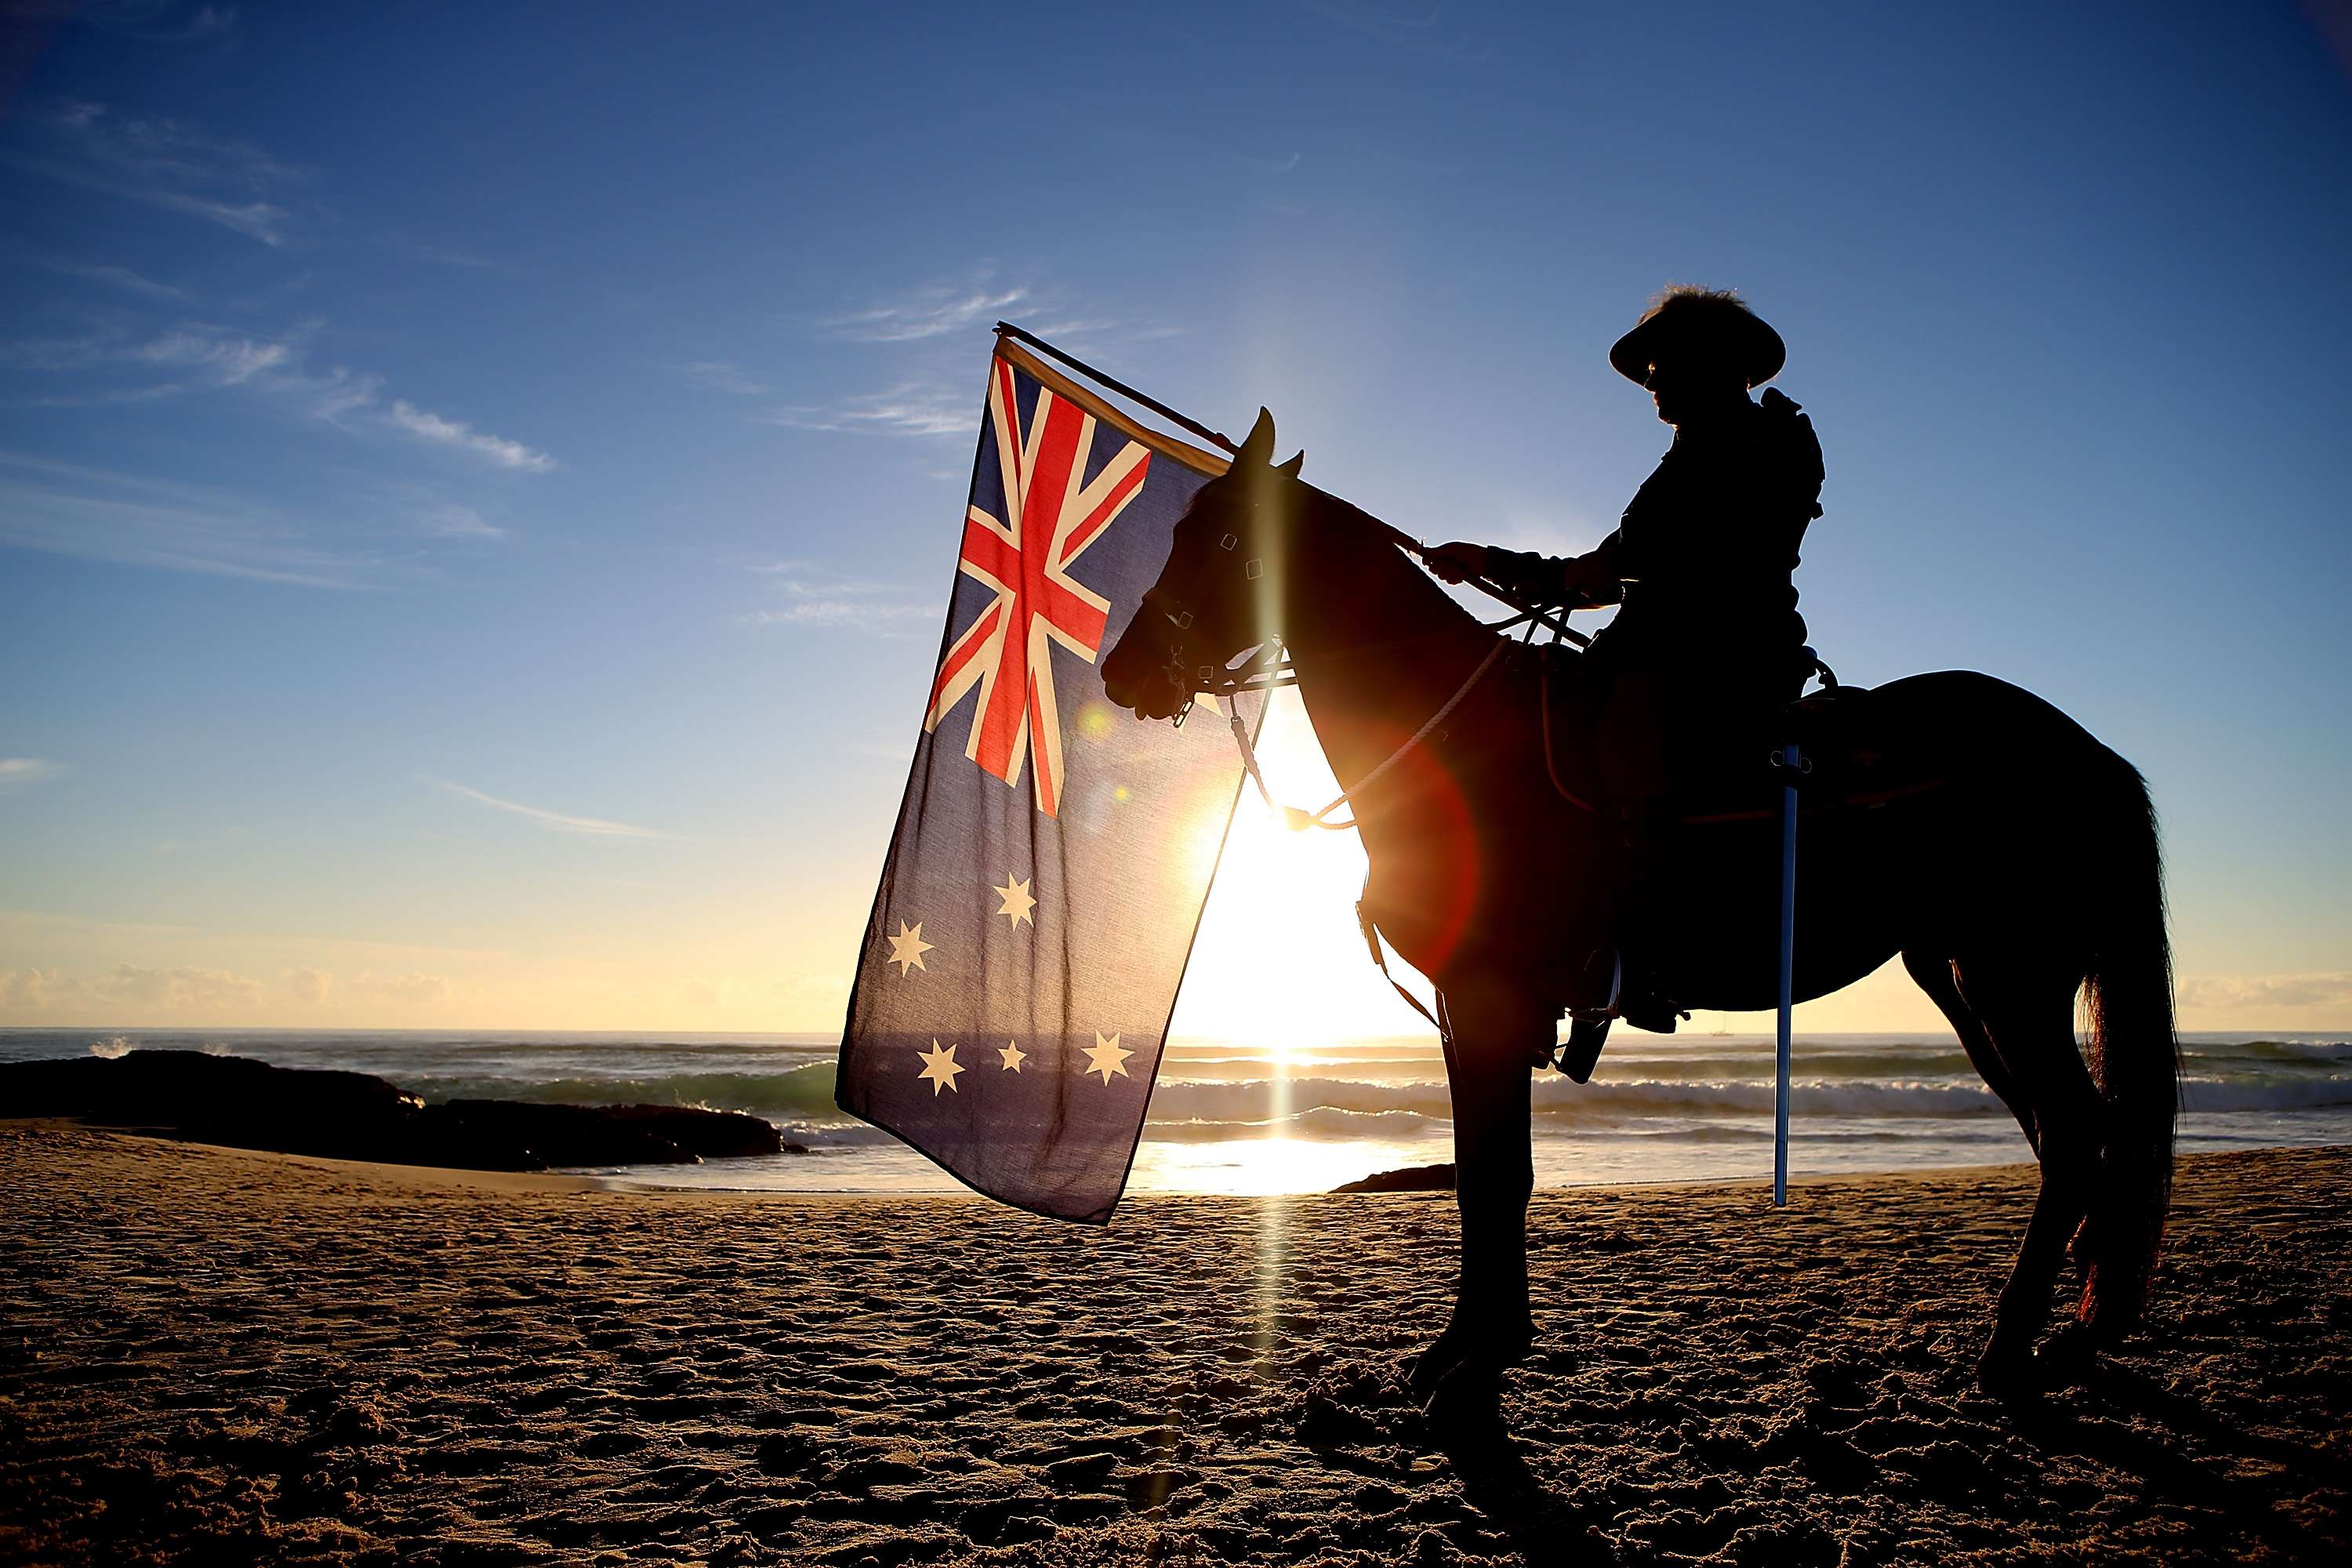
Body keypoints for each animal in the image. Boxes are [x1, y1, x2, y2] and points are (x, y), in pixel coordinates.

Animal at [1110, 413, 2173, 1401]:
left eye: (1225, 538)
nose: (1127, 670)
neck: (1461, 744)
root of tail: (2085, 750)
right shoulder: (1464, 1006)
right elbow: (1483, 1172)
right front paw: (1470, 1346)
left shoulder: (1490, 999)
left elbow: (1498, 1176)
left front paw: (1479, 1356)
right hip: (1959, 978)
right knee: (2071, 1138)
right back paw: (2070, 1328)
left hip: (2011, 979)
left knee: (2073, 1132)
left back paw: (2014, 1344)